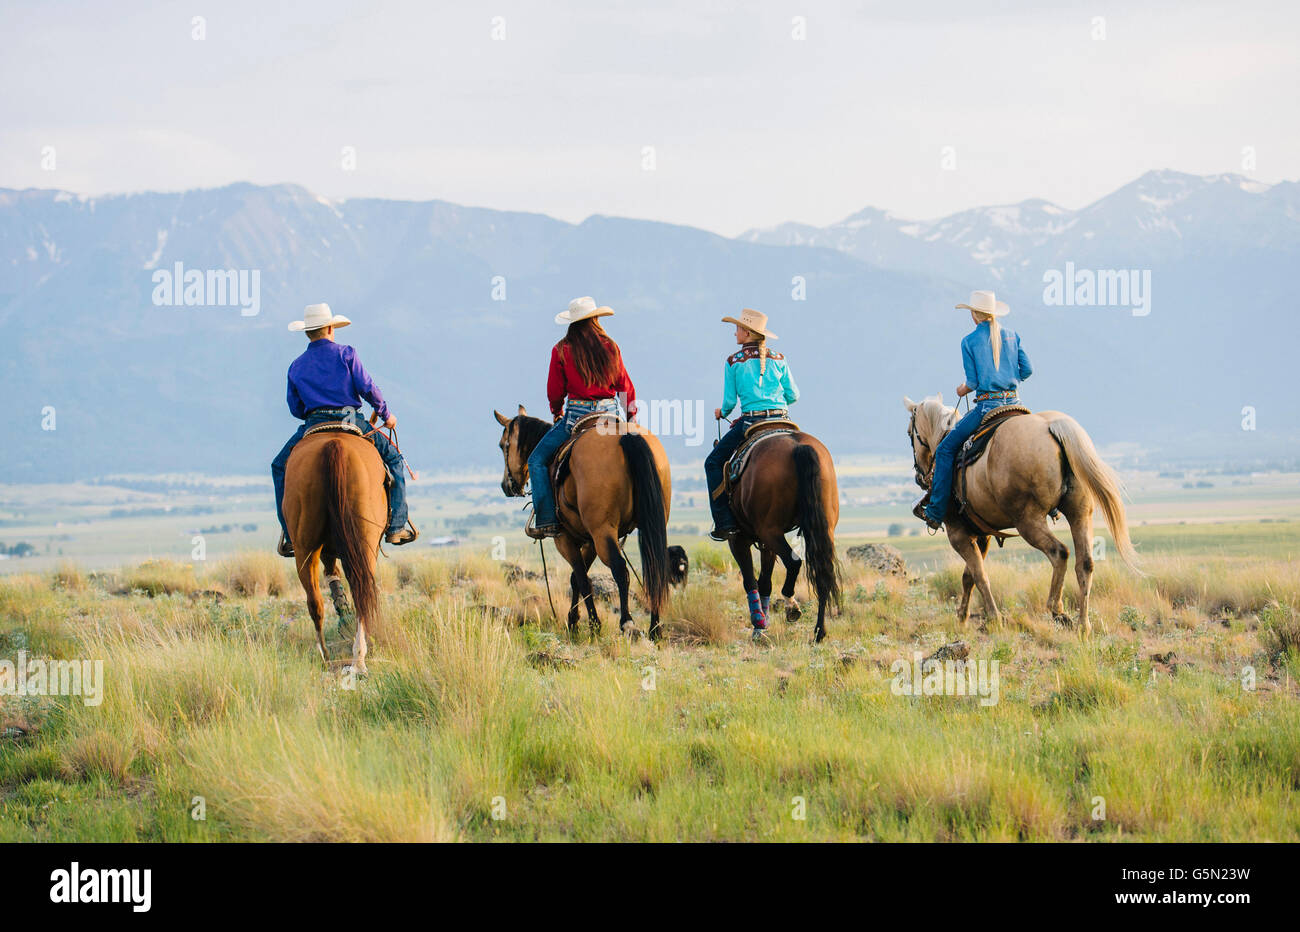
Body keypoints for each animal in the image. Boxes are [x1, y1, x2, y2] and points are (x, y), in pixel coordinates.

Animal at [284, 426, 384, 670]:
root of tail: (333, 445)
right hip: (365, 540)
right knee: (361, 593)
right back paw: (357, 657)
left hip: (305, 546)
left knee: (315, 601)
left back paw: (327, 656)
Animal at [488, 408, 670, 639]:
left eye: (503, 445)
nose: (506, 485)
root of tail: (625, 435)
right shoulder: (590, 540)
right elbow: (576, 578)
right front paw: (573, 620)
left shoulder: (565, 539)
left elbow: (582, 579)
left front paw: (591, 625)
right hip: (650, 524)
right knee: (655, 566)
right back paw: (655, 628)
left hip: (603, 532)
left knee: (620, 569)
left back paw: (627, 623)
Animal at [717, 421, 837, 639]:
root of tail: (799, 446)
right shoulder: (766, 543)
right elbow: (765, 581)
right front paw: (762, 623)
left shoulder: (738, 540)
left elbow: (750, 580)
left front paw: (758, 624)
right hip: (821, 529)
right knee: (823, 571)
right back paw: (819, 631)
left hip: (770, 531)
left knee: (794, 563)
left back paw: (791, 607)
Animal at [904, 392, 1138, 631]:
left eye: (909, 433)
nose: (920, 476)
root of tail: (1052, 425)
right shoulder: (983, 535)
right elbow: (968, 576)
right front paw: (962, 616)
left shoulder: (958, 534)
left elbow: (979, 575)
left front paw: (994, 618)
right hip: (1080, 514)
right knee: (1085, 563)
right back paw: (1084, 626)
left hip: (1028, 521)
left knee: (1059, 552)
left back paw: (1057, 609)